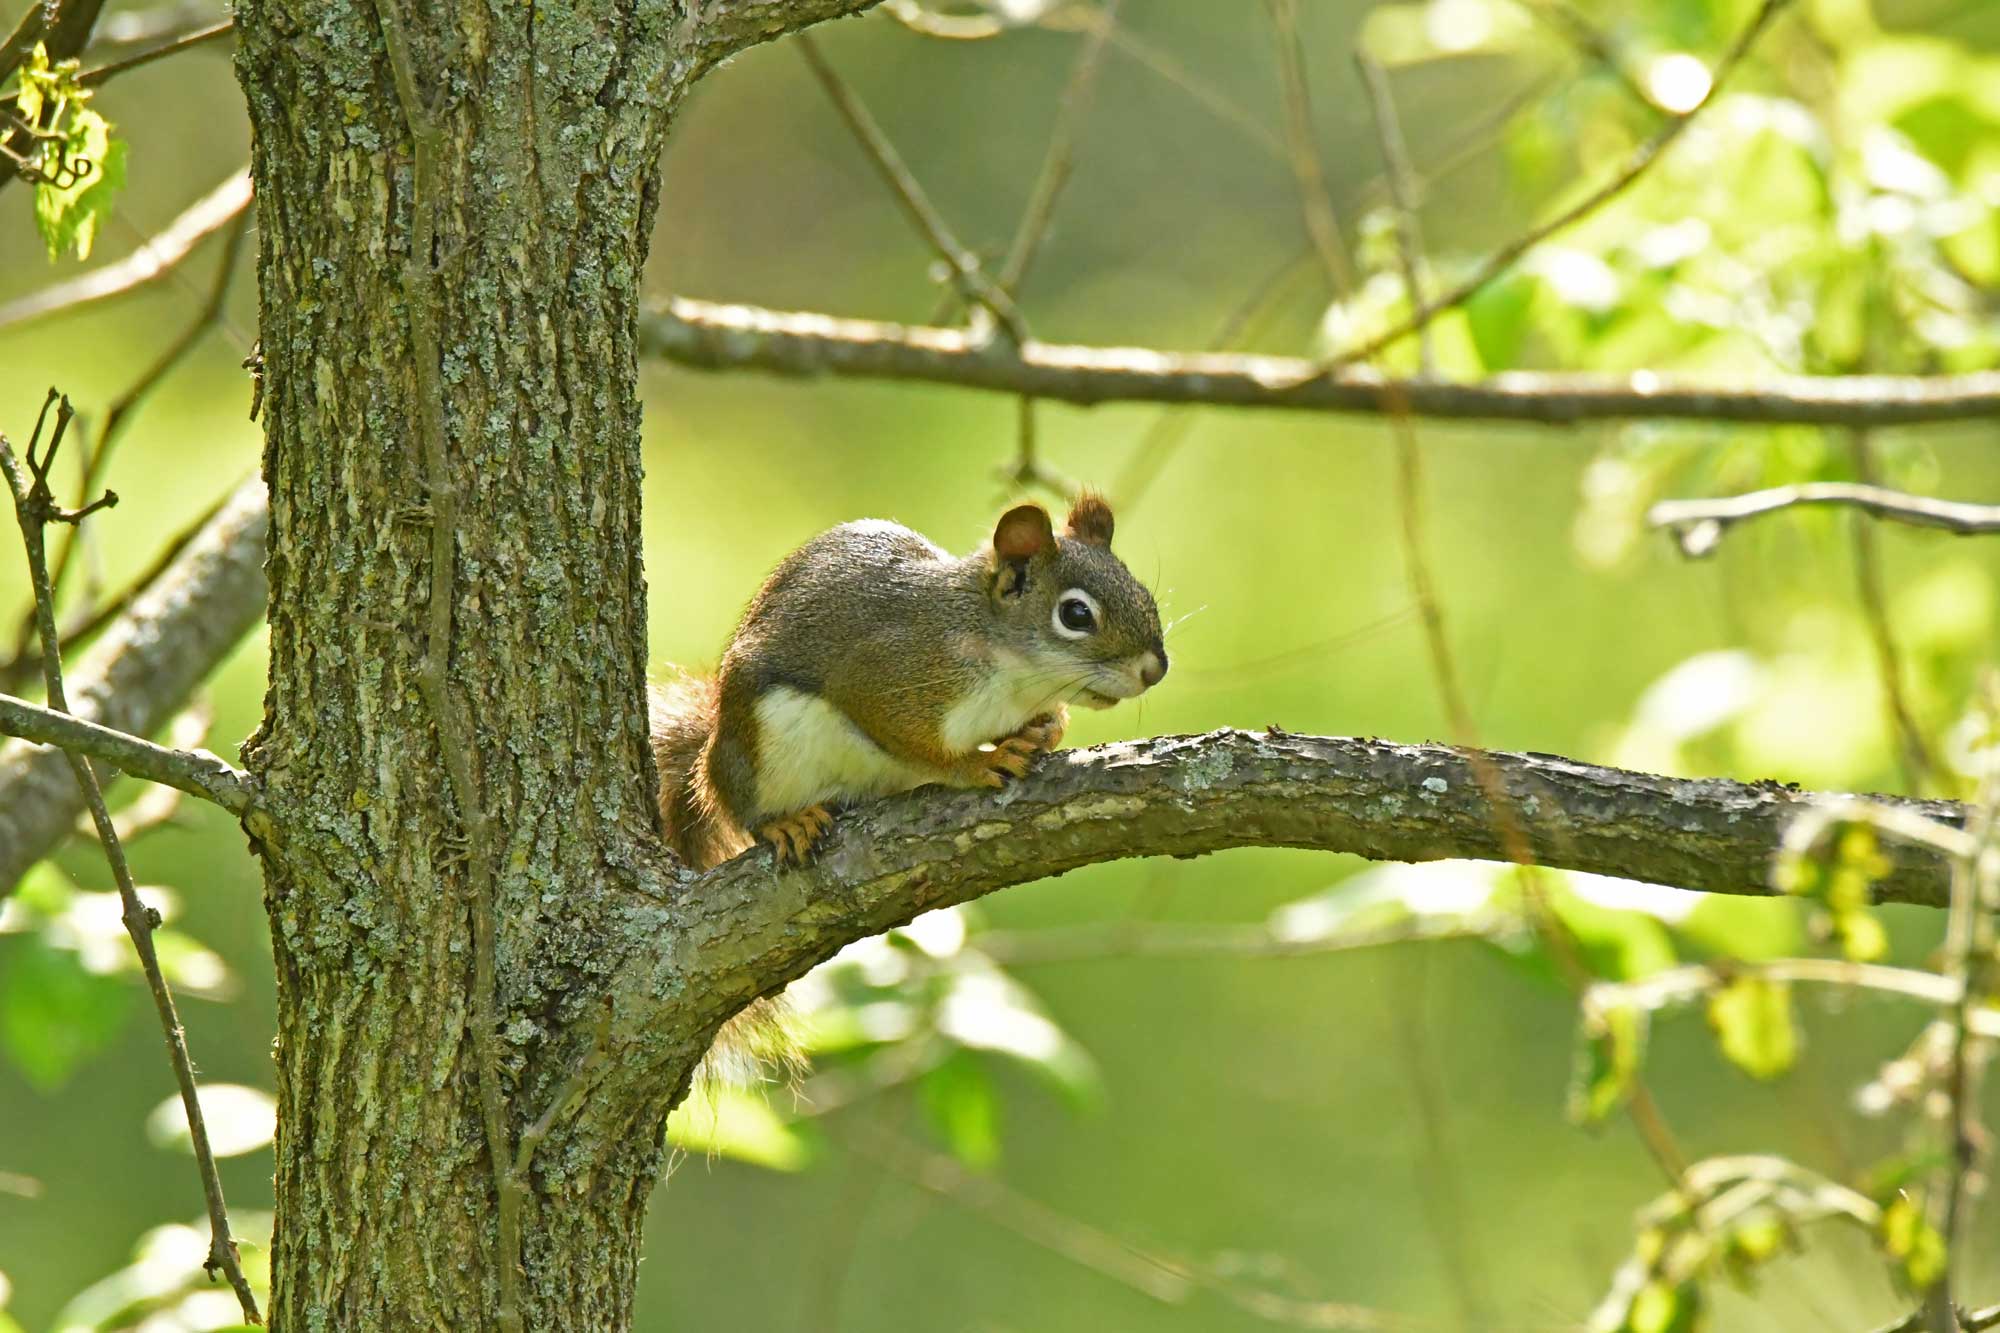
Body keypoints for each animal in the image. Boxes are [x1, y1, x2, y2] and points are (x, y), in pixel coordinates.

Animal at [651, 492, 1168, 873]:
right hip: (758, 749)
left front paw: (1045, 728)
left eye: (1144, 593)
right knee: (740, 807)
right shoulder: (884, 674)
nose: (1156, 670)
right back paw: (784, 823)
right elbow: (915, 744)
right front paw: (979, 763)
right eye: (1076, 614)